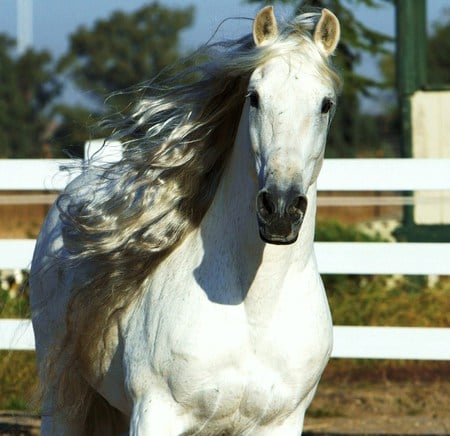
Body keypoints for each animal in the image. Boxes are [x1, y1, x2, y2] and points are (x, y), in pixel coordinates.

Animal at [30, 5, 342, 432]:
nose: (280, 209)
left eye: (325, 104)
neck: (253, 309)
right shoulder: (155, 413)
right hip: (62, 396)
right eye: (254, 97)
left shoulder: (282, 423)